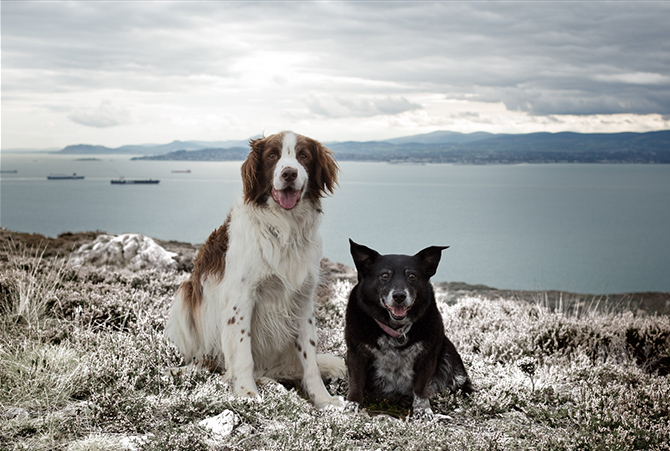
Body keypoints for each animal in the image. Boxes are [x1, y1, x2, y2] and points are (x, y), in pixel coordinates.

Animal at [168, 130, 346, 410]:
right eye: (272, 156)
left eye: (303, 156)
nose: (289, 173)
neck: (284, 229)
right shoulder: (241, 299)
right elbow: (243, 351)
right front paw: (246, 392)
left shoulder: (302, 300)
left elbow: (310, 358)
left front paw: (322, 399)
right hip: (183, 297)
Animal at [346, 240, 472, 420]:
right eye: (385, 275)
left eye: (412, 276)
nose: (399, 296)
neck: (395, 330)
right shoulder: (356, 353)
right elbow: (356, 382)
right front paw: (352, 405)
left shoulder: (427, 357)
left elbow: (420, 387)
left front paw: (423, 411)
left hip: (448, 354)